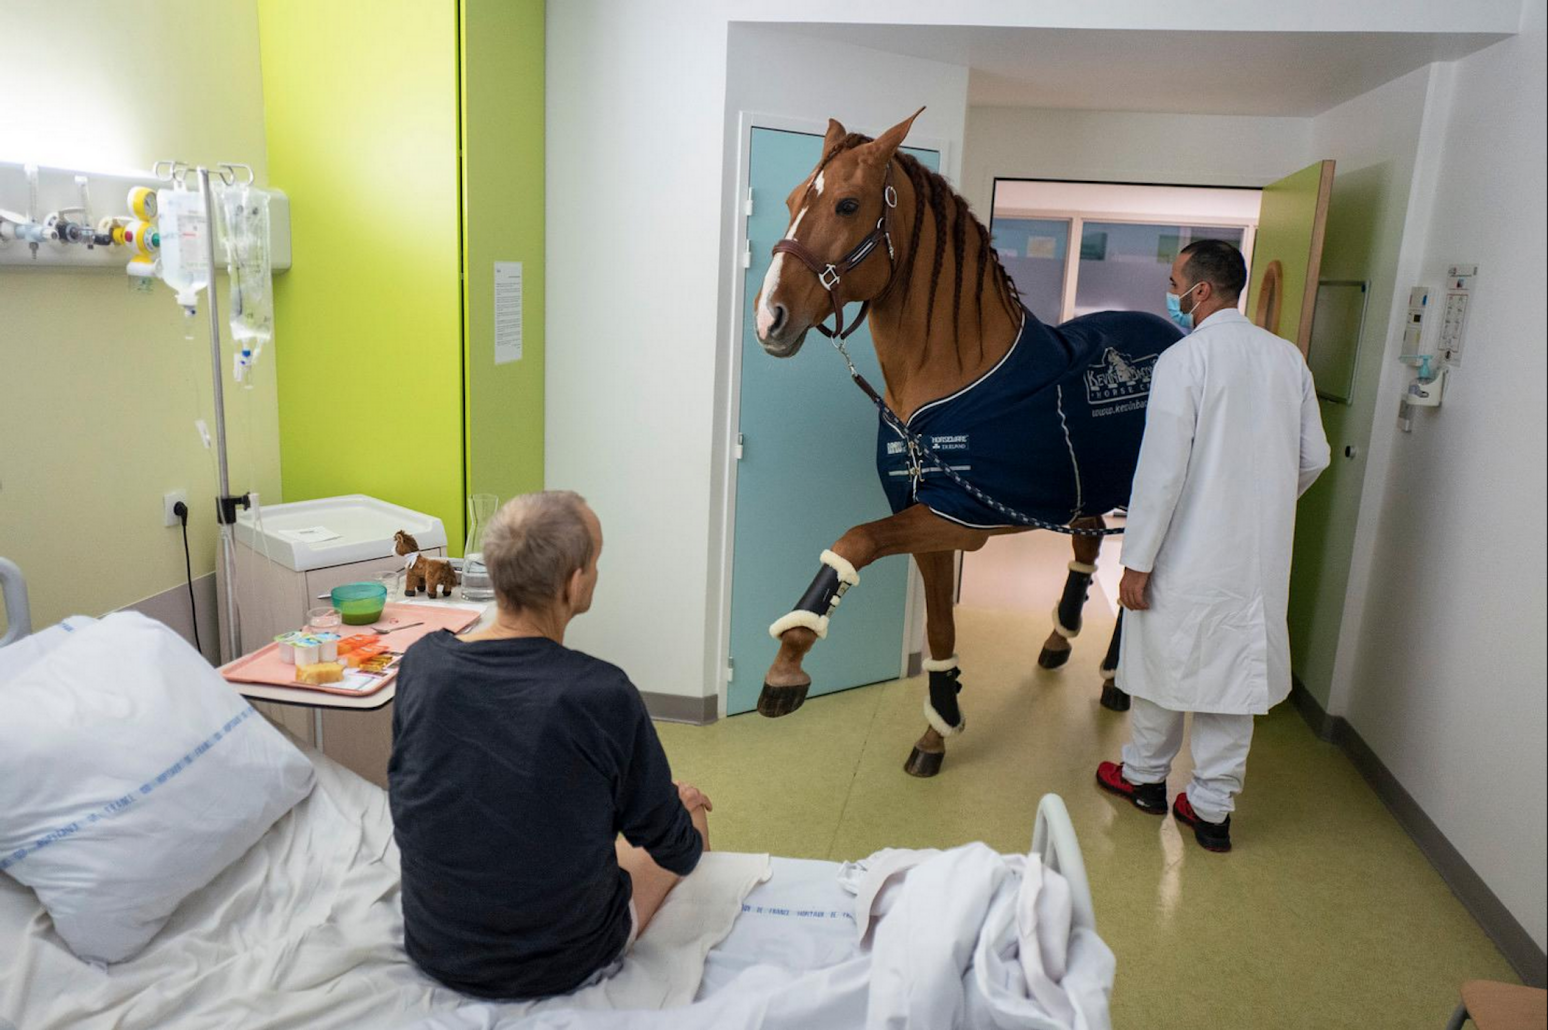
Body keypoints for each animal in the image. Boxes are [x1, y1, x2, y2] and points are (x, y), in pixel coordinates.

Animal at [755, 108, 1176, 774]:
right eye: (795, 199)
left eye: (848, 204)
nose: (769, 316)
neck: (943, 381)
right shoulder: (927, 519)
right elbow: (940, 629)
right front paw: (939, 725)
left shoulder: (956, 518)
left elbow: (853, 541)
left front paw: (788, 662)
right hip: (1085, 492)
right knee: (1086, 547)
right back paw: (1059, 639)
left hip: (1141, 501)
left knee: (1136, 581)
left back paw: (1115, 678)